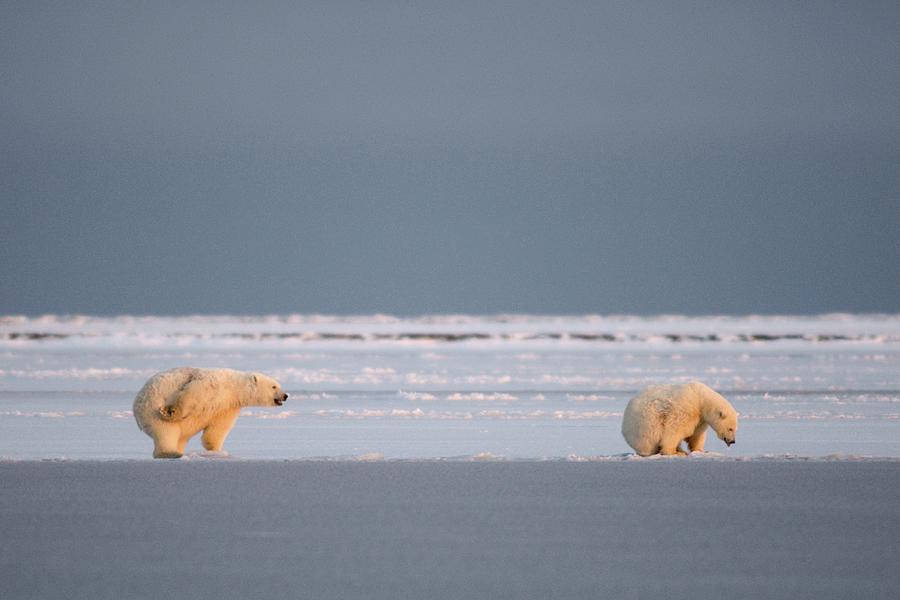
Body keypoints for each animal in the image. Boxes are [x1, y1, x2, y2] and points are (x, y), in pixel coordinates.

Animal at [132, 366, 288, 460]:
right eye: (274, 386)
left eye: (278, 385)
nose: (285, 395)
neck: (234, 387)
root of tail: (135, 408)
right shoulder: (212, 385)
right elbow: (191, 394)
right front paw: (171, 412)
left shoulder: (227, 406)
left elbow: (217, 428)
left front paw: (216, 450)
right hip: (150, 408)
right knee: (166, 431)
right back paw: (171, 453)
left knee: (180, 437)